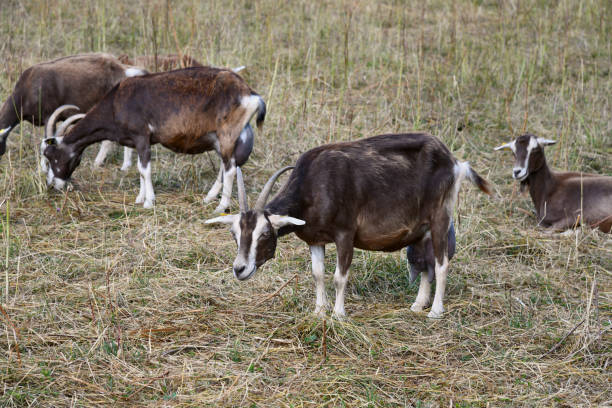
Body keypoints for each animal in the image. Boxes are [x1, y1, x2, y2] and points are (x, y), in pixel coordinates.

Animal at [41, 65, 264, 212]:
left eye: (51, 156)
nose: (53, 185)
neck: (115, 103)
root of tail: (250, 94)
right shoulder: (138, 141)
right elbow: (140, 170)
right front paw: (140, 198)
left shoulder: (142, 136)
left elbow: (144, 169)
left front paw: (149, 202)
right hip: (226, 139)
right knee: (228, 166)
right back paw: (209, 198)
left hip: (227, 135)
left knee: (229, 169)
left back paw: (221, 206)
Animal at [208, 134, 490, 318]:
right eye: (234, 234)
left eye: (265, 233)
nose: (240, 269)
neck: (312, 184)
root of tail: (455, 162)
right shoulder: (316, 239)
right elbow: (317, 274)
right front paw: (319, 311)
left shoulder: (345, 234)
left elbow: (339, 277)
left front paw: (338, 314)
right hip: (423, 229)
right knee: (426, 264)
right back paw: (418, 305)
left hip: (440, 217)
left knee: (441, 263)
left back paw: (435, 311)